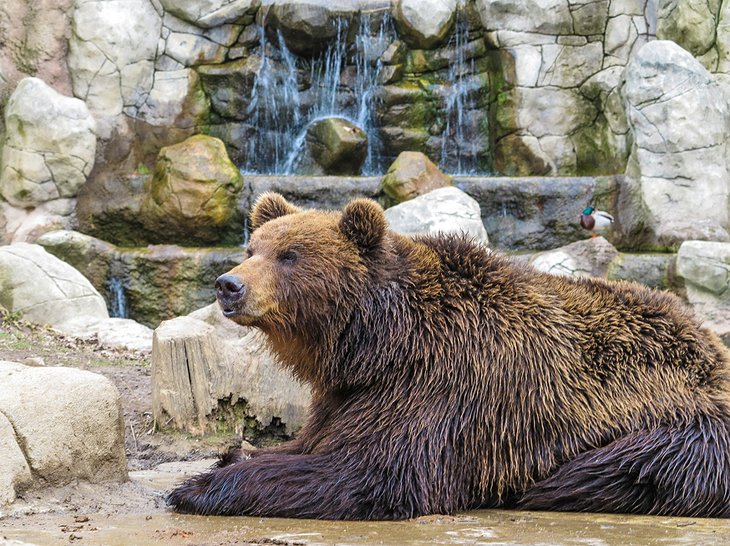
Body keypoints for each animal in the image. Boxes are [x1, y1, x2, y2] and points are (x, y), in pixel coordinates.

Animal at [166, 191, 730, 520]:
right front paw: (236, 452)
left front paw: (199, 486)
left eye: (289, 255)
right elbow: (310, 443)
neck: (376, 342)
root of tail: (711, 341)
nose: (229, 285)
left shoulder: (444, 384)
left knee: (617, 469)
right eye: (253, 248)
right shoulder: (349, 392)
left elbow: (373, 475)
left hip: (679, 425)